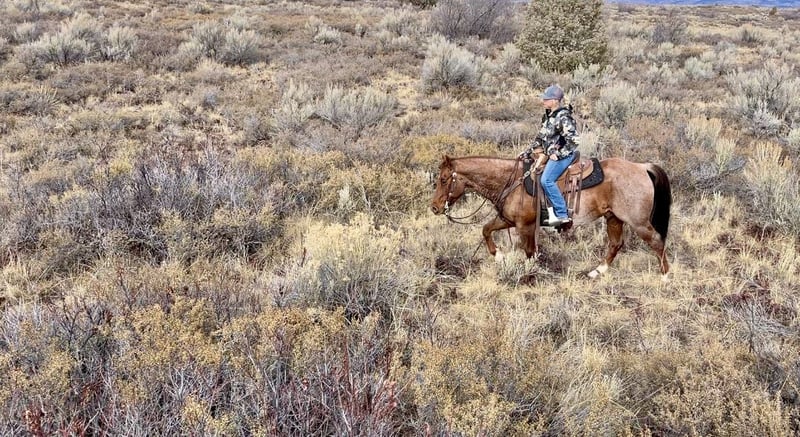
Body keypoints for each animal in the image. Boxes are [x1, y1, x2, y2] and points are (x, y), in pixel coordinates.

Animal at [430, 153, 672, 279]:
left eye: (443, 179)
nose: (434, 207)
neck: (512, 181)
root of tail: (642, 167)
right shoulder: (508, 220)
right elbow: (486, 229)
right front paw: (499, 256)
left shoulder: (525, 226)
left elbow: (529, 252)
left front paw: (528, 275)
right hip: (613, 217)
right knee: (616, 244)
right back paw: (597, 271)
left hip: (638, 222)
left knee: (656, 241)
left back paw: (664, 276)